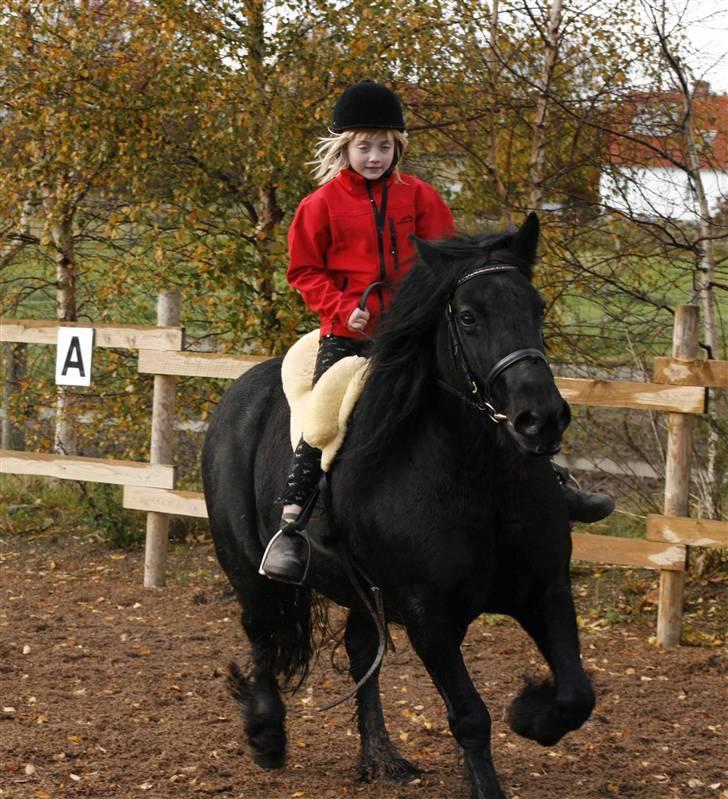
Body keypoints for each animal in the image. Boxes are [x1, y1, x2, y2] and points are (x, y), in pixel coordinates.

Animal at [201, 213, 595, 799]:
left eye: (537, 307)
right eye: (469, 317)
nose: (540, 420)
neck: (480, 480)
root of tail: (238, 393)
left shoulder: (544, 591)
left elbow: (576, 695)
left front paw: (530, 714)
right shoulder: (428, 614)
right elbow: (470, 716)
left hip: (362, 590)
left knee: (360, 650)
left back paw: (380, 756)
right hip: (248, 571)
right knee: (263, 633)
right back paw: (267, 735)